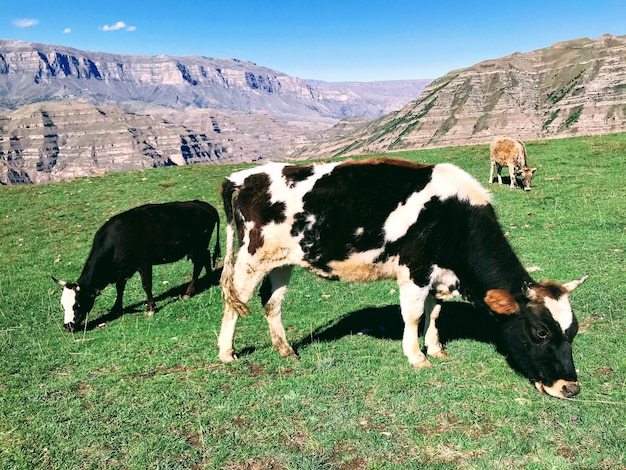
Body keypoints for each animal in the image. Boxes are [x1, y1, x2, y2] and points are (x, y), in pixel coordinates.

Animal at [52, 200, 221, 332]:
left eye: (77, 305)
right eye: (62, 305)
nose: (68, 326)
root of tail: (203, 204)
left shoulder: (144, 264)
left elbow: (146, 285)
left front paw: (150, 308)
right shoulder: (122, 270)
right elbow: (120, 289)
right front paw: (116, 309)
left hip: (198, 245)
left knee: (198, 265)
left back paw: (188, 292)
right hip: (198, 247)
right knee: (206, 258)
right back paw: (209, 280)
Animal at [217, 160, 588, 398]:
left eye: (572, 332)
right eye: (540, 332)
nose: (570, 387)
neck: (454, 214)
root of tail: (245, 176)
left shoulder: (438, 276)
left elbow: (434, 313)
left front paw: (436, 349)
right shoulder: (415, 269)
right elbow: (412, 315)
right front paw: (417, 357)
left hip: (282, 261)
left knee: (272, 302)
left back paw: (286, 351)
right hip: (251, 256)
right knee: (236, 300)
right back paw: (226, 353)